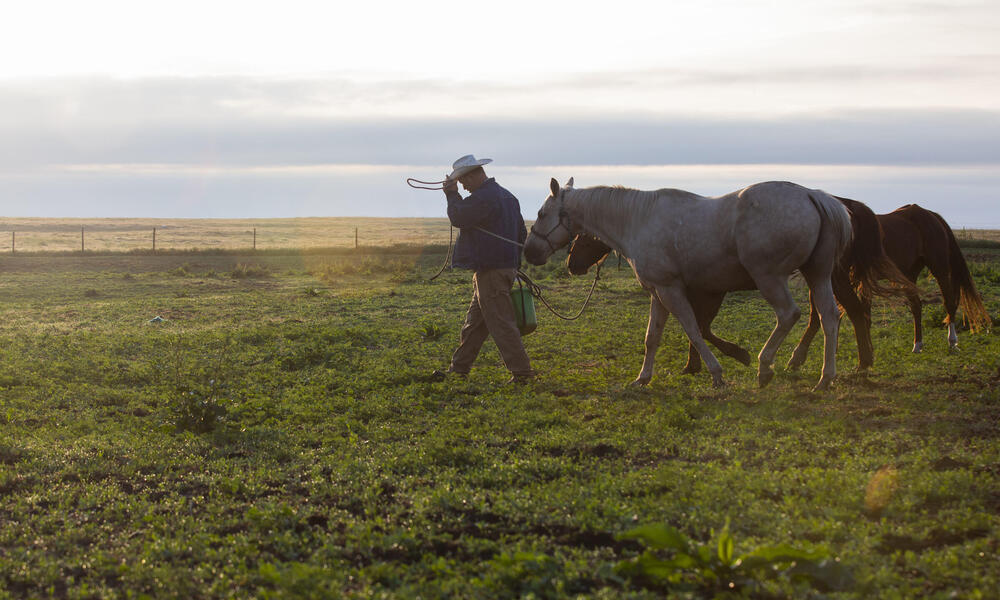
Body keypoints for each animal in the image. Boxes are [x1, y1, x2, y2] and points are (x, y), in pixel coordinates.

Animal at [568, 197, 916, 376]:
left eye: (583, 236)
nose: (571, 265)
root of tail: (842, 207)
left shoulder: (709, 291)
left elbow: (700, 328)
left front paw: (732, 356)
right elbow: (697, 328)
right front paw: (700, 363)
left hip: (829, 277)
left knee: (848, 312)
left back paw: (854, 361)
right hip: (820, 278)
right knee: (834, 314)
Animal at [876, 204, 992, 352]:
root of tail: (931, 214)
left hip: (939, 270)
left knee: (948, 302)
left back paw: (952, 341)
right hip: (909, 275)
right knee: (916, 306)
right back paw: (917, 345)